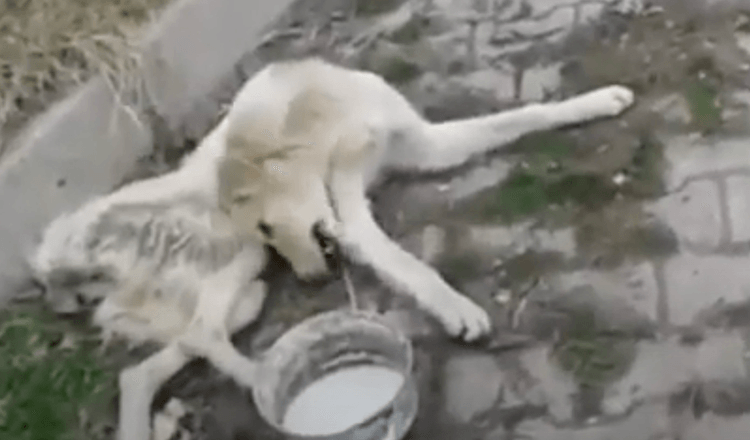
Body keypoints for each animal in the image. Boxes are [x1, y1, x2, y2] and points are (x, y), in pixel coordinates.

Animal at [29, 56, 636, 438]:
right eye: (265, 229)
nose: (311, 281)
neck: (322, 112)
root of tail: (55, 265)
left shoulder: (422, 146)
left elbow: (523, 115)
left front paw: (596, 101)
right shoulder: (346, 203)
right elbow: (403, 262)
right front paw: (455, 309)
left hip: (236, 293)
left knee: (140, 373)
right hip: (238, 267)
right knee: (203, 334)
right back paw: (268, 385)